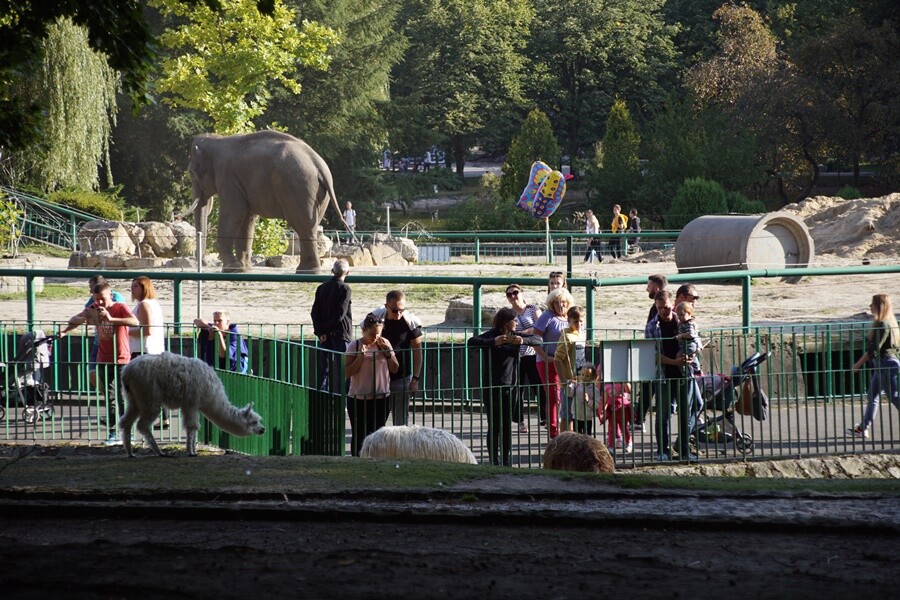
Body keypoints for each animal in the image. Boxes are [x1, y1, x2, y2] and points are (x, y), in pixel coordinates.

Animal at [185, 132, 346, 274]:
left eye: (191, 172)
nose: (203, 262)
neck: (218, 140)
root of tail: (318, 164)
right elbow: (247, 218)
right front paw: (242, 269)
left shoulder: (227, 177)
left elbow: (235, 212)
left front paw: (232, 269)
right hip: (318, 193)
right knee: (310, 226)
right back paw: (306, 270)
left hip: (299, 187)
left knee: (303, 225)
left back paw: (306, 271)